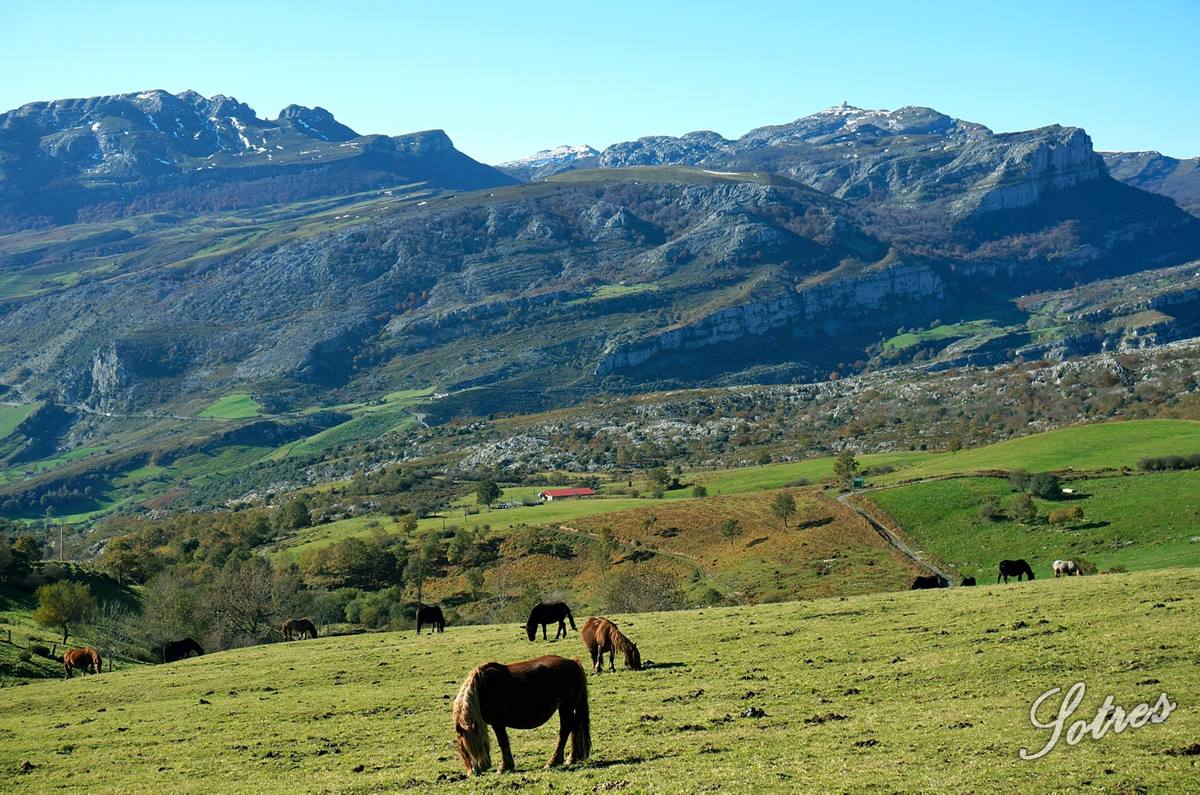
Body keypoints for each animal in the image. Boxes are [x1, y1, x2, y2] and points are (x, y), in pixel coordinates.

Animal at [451, 653, 588, 778]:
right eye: (463, 749)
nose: (475, 772)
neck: (482, 689)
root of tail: (573, 662)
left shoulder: (497, 723)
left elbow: (503, 741)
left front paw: (504, 767)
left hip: (566, 707)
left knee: (565, 730)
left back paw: (553, 762)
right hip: (566, 708)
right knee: (575, 727)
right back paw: (572, 758)